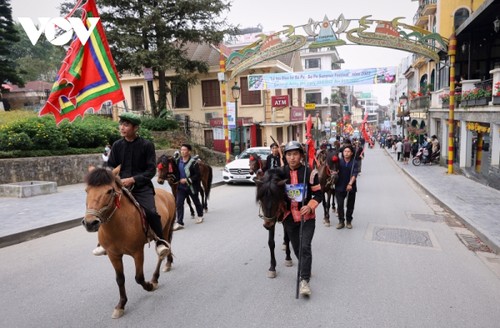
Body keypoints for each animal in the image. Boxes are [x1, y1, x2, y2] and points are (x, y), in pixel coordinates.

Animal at [81, 167, 176, 318]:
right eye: (87, 190)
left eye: (109, 191)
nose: (90, 223)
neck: (119, 226)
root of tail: (167, 193)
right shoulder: (113, 255)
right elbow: (120, 279)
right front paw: (121, 305)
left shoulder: (137, 252)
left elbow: (139, 277)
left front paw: (149, 286)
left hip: (166, 229)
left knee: (163, 251)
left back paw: (156, 277)